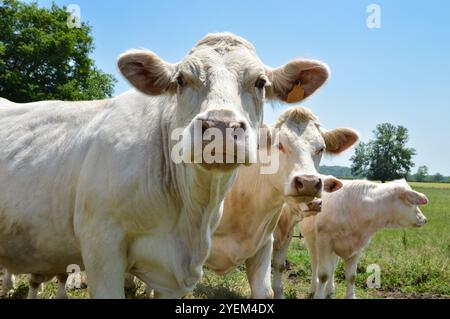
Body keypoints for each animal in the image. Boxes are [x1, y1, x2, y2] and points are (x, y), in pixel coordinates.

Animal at [272, 180, 428, 300]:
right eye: (411, 201)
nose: (424, 219)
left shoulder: (357, 247)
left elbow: (351, 276)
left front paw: (350, 296)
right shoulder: (324, 241)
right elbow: (323, 274)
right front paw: (319, 295)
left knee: (332, 267)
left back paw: (330, 290)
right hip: (313, 243)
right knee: (316, 265)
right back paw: (314, 289)